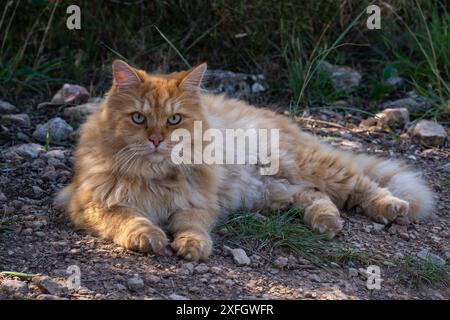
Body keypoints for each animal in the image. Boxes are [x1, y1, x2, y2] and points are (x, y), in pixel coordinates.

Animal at [56, 60, 432, 260]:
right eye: (138, 118)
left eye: (175, 119)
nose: (156, 139)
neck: (154, 175)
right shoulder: (93, 203)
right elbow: (131, 219)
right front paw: (148, 237)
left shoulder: (198, 204)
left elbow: (192, 227)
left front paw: (192, 246)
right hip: (273, 190)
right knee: (316, 196)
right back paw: (327, 222)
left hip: (308, 166)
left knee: (362, 185)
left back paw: (390, 207)